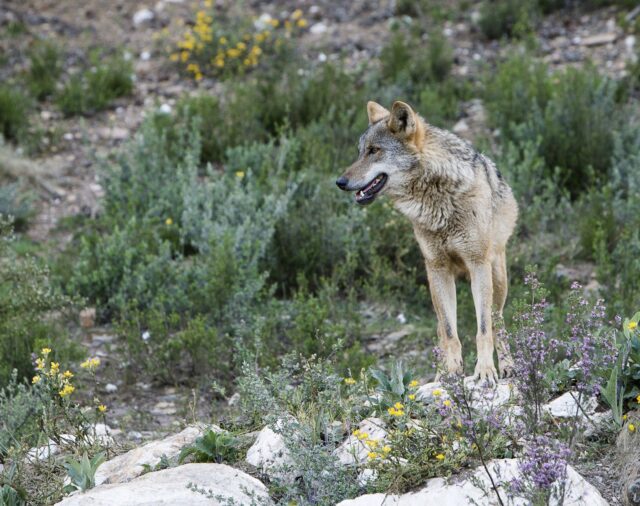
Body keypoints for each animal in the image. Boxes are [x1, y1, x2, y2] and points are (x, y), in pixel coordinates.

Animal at [338, 101, 516, 382]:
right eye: (359, 152)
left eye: (374, 151)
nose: (340, 182)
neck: (438, 198)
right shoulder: (437, 268)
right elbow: (450, 332)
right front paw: (451, 373)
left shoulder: (477, 264)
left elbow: (483, 329)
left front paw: (485, 370)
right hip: (436, 283)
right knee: (442, 330)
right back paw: (440, 373)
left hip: (497, 277)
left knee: (497, 322)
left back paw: (508, 366)